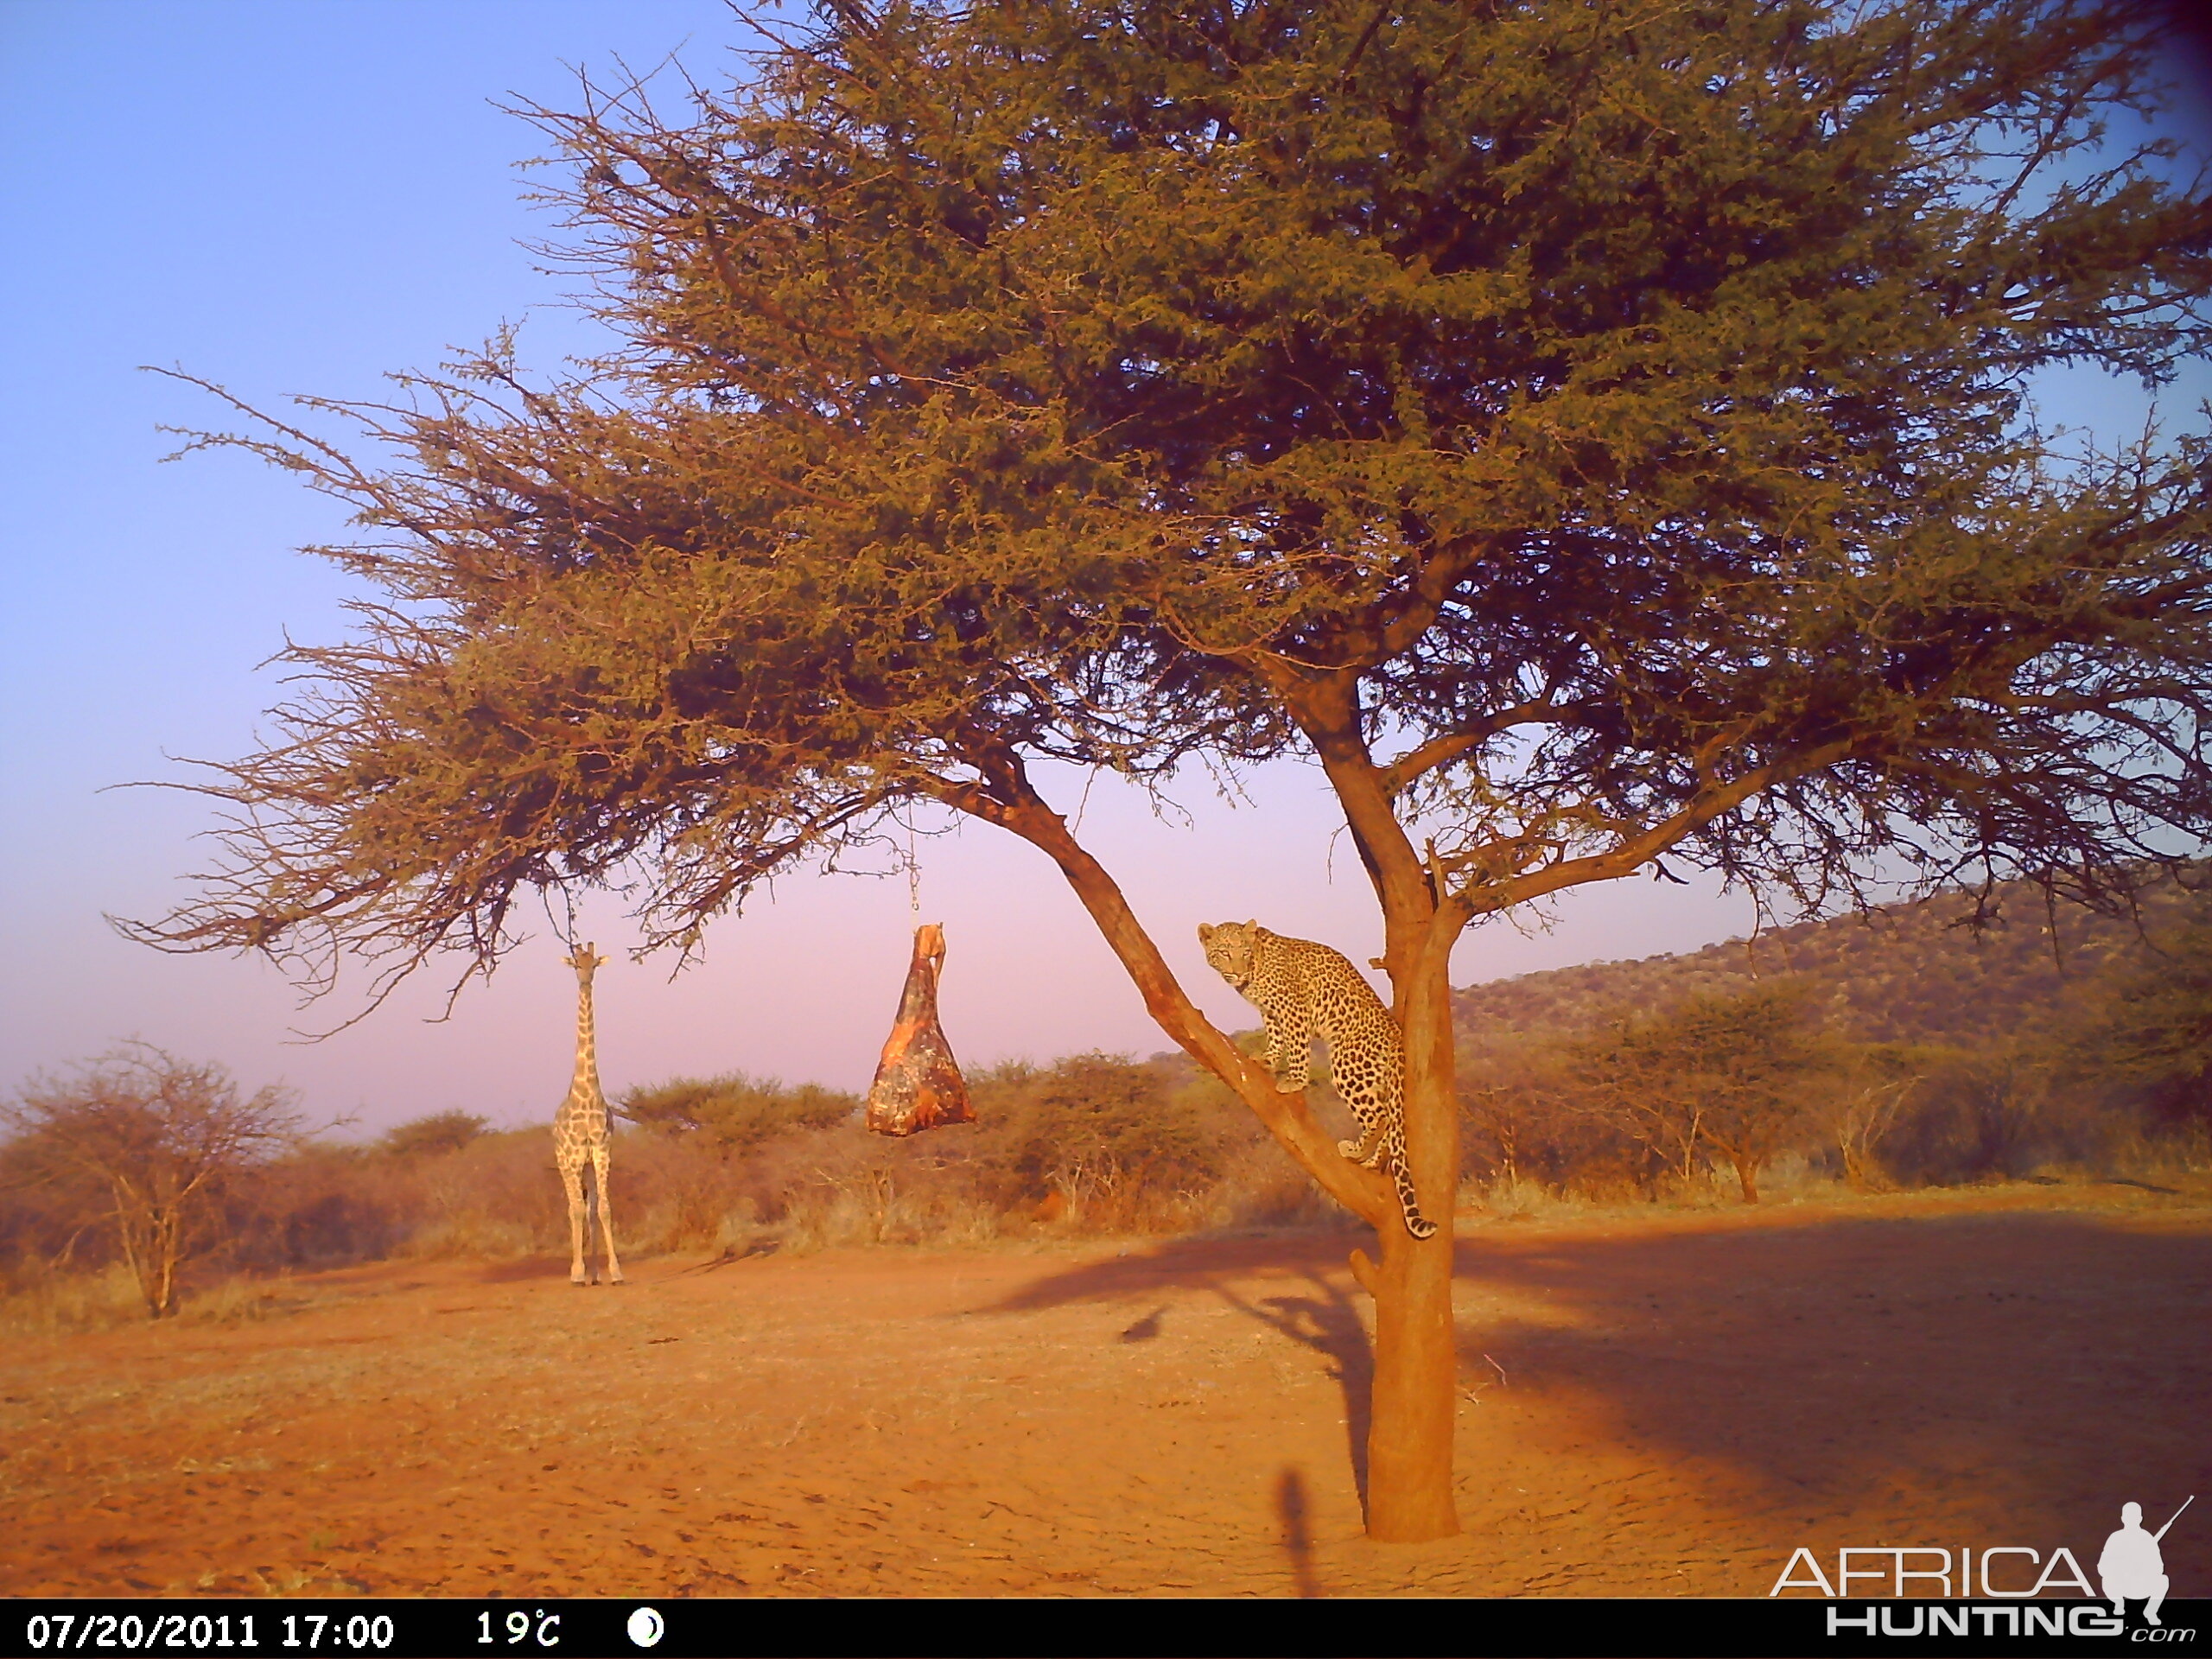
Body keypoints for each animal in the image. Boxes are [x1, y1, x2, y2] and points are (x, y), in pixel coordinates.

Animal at [1203, 925, 1442, 1247]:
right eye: (1224, 952)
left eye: (1245, 952)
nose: (1238, 973)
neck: (1258, 966)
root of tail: (1396, 1035)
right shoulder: (1271, 1011)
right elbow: (1275, 1035)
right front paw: (1267, 1060)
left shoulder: (1292, 1006)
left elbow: (1296, 1043)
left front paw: (1294, 1080)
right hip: (1376, 1079)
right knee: (1390, 1122)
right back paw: (1371, 1162)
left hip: (1347, 1062)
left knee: (1380, 1117)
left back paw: (1356, 1152)